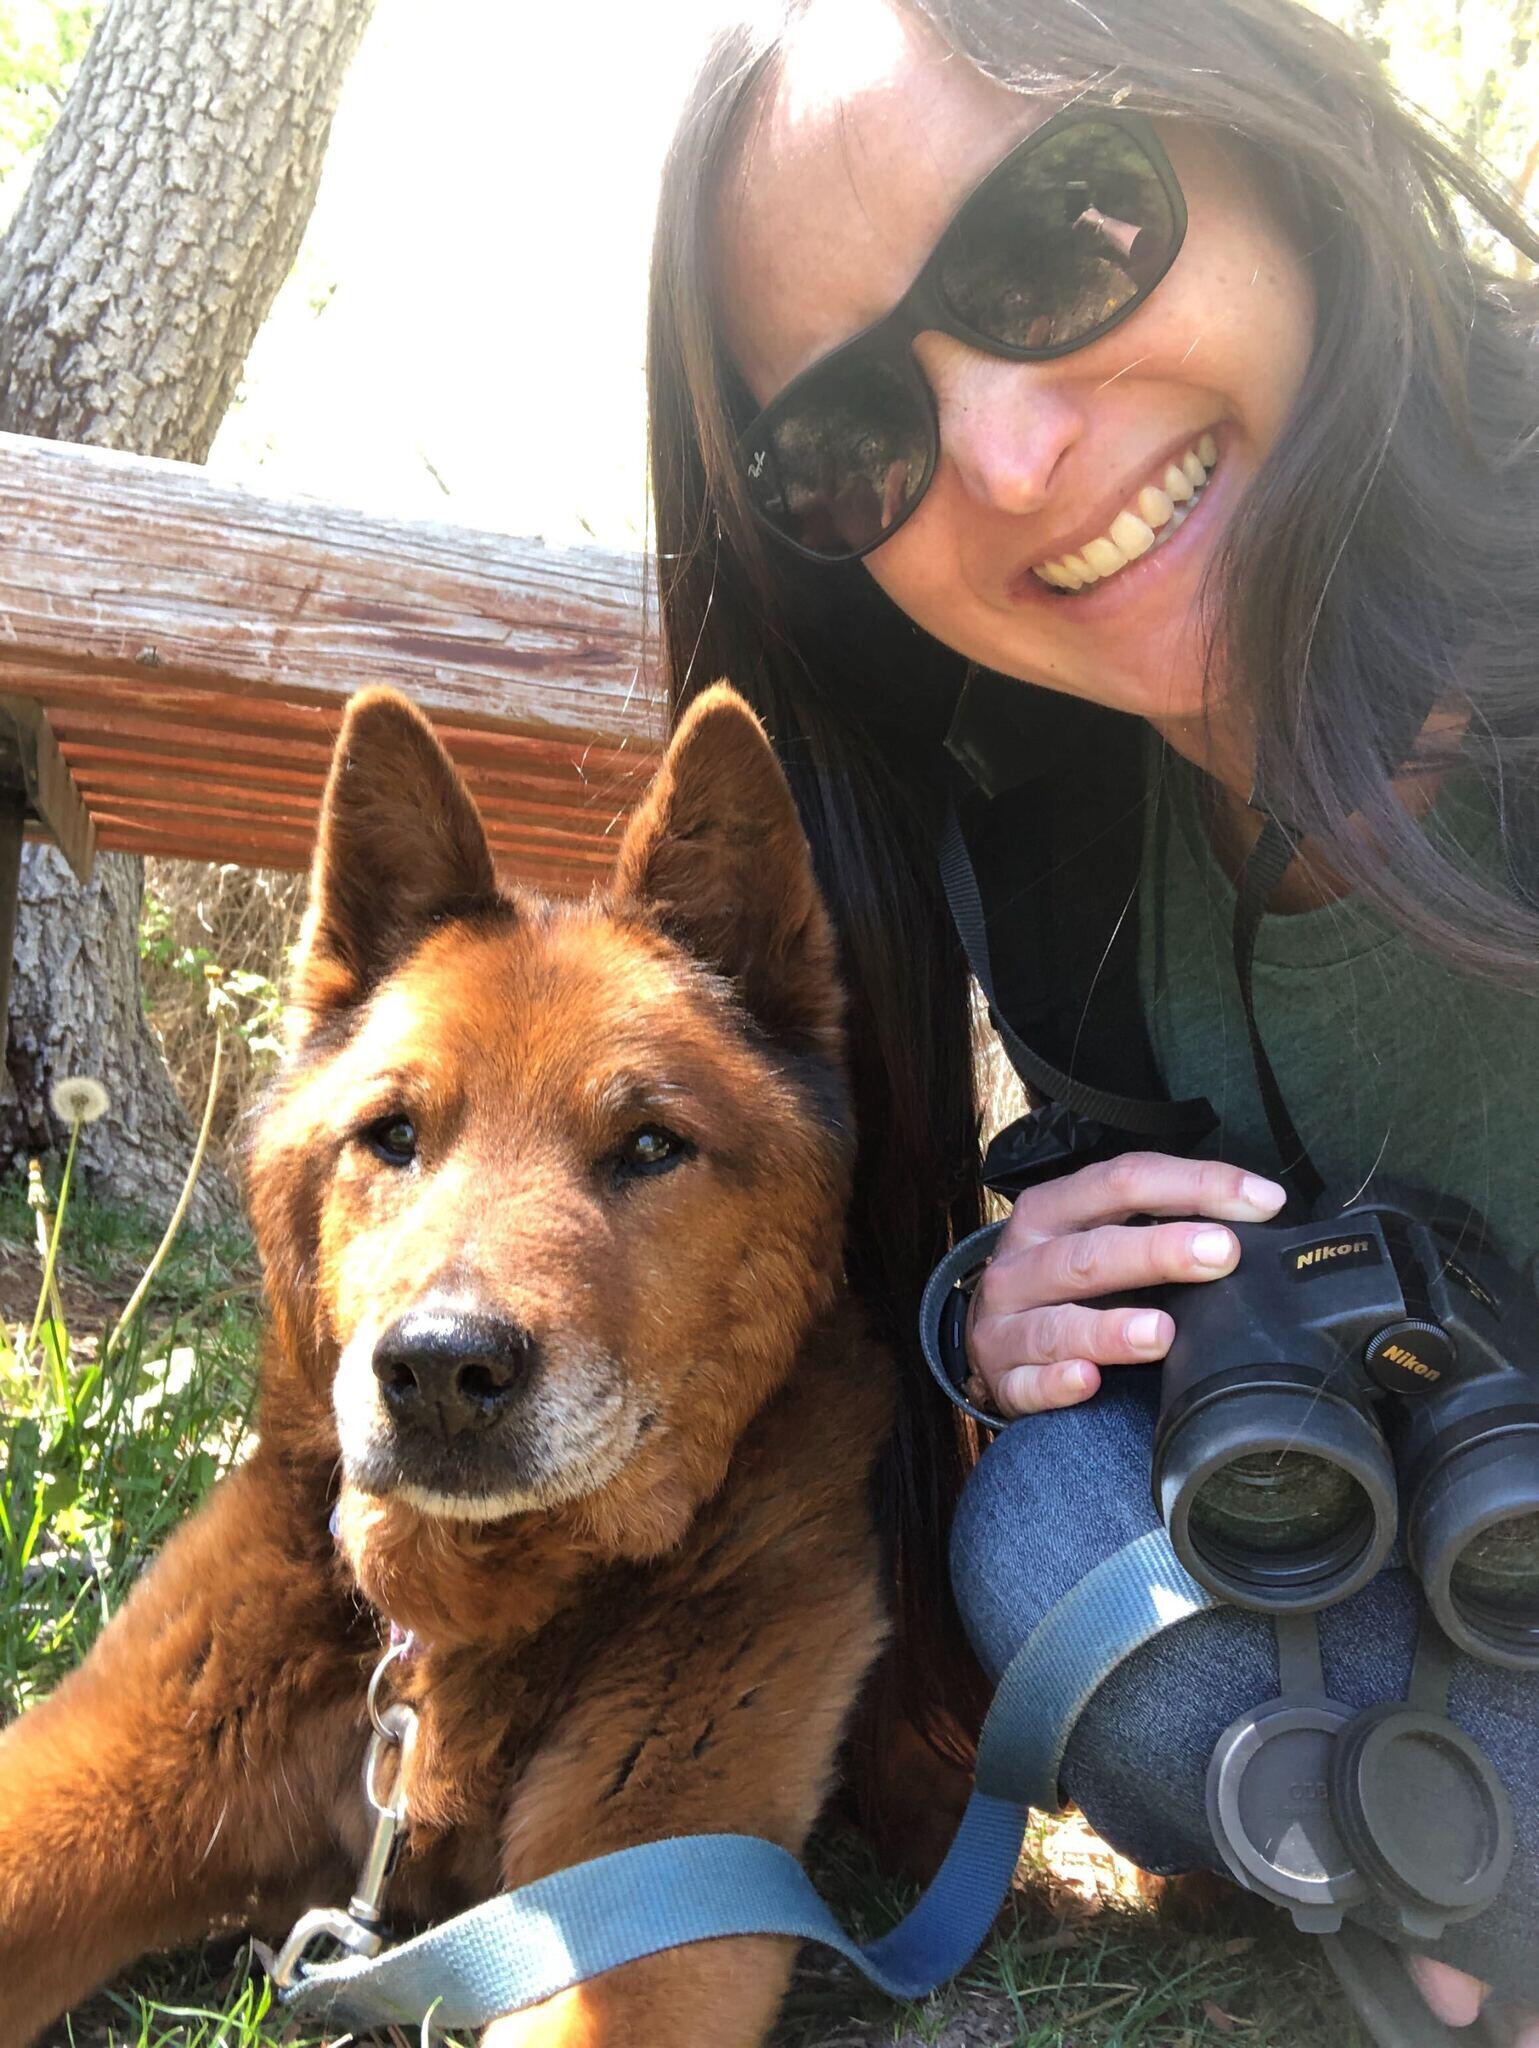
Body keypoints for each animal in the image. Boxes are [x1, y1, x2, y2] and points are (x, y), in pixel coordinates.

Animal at [0, 688, 889, 2048]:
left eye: (650, 1144)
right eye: (393, 1134)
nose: (436, 1367)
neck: (460, 1620)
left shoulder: (658, 1884)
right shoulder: (112, 1761)